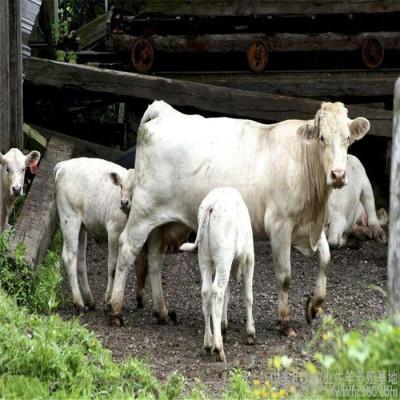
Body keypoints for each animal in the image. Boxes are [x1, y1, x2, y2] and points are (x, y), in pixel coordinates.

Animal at [54, 157, 135, 312]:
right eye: (121, 186)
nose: (124, 202)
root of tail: (64, 165)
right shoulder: (114, 230)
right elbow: (113, 266)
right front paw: (108, 300)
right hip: (69, 218)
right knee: (69, 256)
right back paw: (79, 303)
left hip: (81, 226)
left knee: (80, 259)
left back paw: (89, 300)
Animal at [108, 99, 370, 334]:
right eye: (322, 138)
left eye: (347, 139)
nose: (338, 174)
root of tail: (163, 111)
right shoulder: (280, 226)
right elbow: (284, 276)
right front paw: (285, 321)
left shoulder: (307, 228)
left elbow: (325, 260)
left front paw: (313, 305)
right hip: (143, 212)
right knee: (127, 249)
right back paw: (115, 310)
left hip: (163, 221)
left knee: (154, 258)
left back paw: (161, 311)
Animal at [180, 188, 255, 362]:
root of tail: (211, 205)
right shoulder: (250, 260)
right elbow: (248, 296)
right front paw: (250, 332)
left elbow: (228, 294)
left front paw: (223, 325)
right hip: (223, 257)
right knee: (217, 292)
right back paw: (218, 347)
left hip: (205, 259)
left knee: (206, 292)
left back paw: (208, 343)